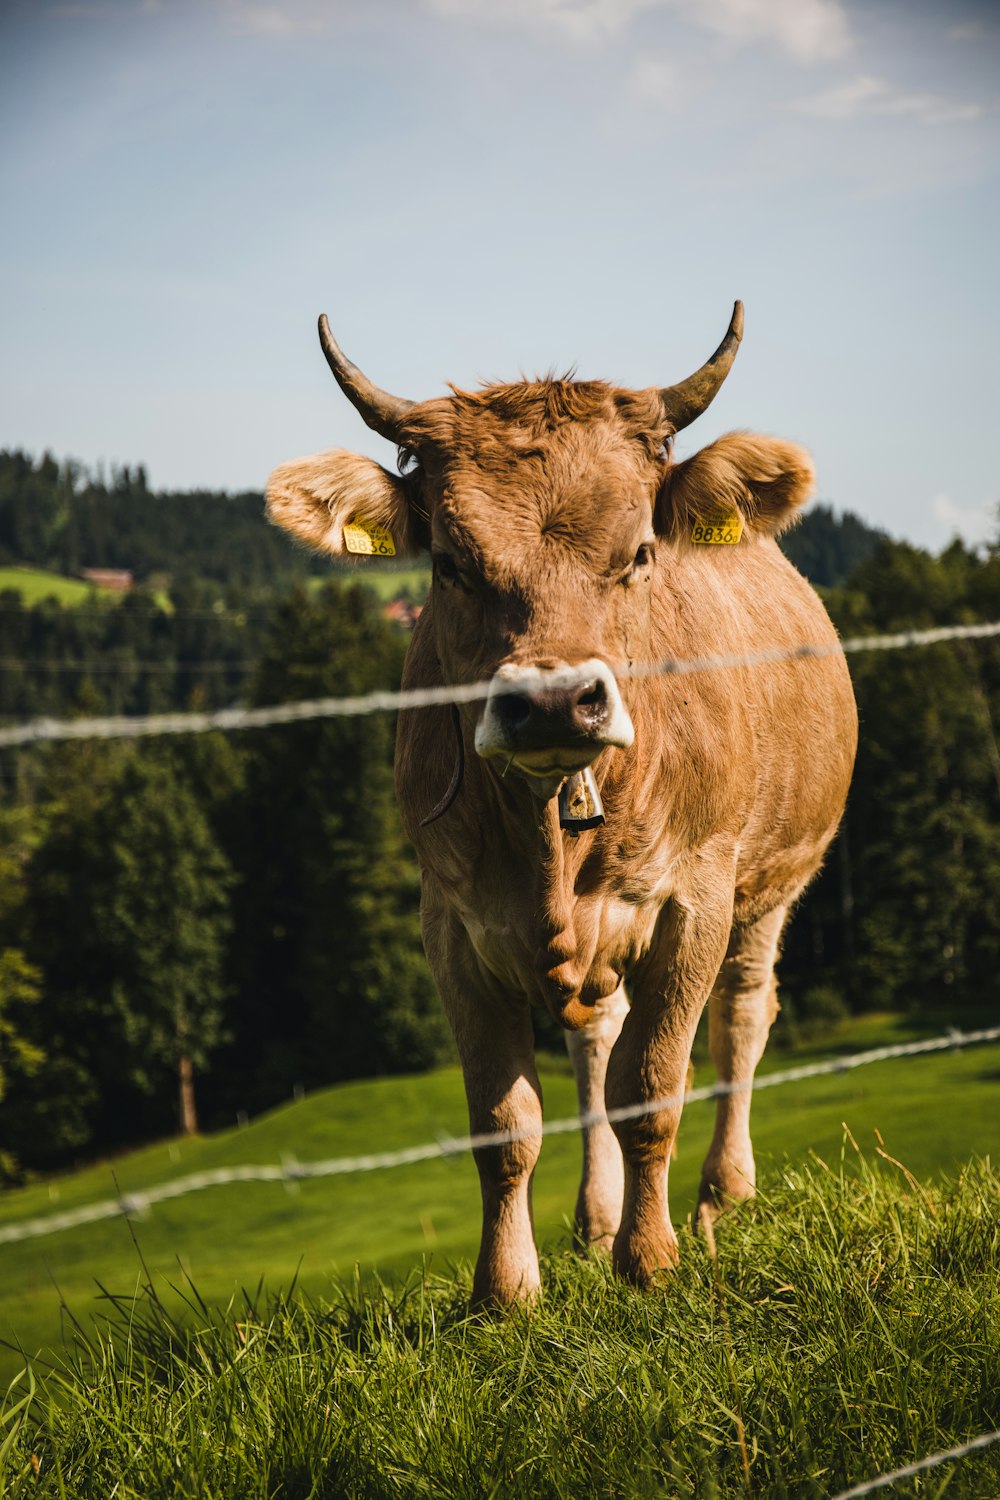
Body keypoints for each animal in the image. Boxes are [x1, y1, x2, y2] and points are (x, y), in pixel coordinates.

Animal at [268, 310, 863, 1308]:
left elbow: (653, 1085)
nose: (552, 703)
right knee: (597, 1035)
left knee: (743, 1014)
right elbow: (505, 1122)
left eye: (640, 554)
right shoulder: (450, 922)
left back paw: (719, 1200)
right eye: (452, 564)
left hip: (773, 884)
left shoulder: (695, 898)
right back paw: (595, 1218)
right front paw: (507, 1290)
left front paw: (651, 1259)